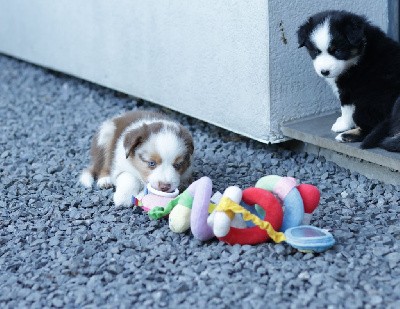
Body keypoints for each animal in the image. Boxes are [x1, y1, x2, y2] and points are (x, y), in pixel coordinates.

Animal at [296, 10, 400, 152]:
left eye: (337, 51)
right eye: (316, 51)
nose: (324, 72)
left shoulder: (348, 88)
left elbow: (346, 108)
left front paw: (342, 124)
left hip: (368, 103)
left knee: (371, 128)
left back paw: (345, 136)